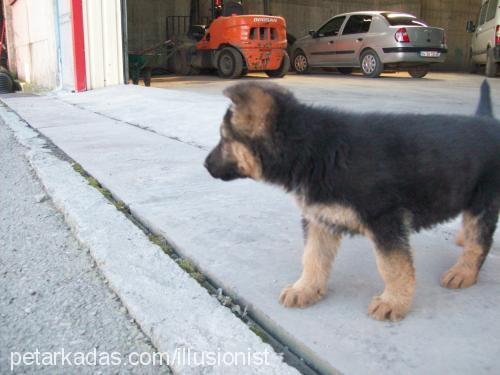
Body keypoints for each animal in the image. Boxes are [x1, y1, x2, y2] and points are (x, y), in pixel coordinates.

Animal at [204, 82, 500, 324]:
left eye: (224, 138)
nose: (205, 165)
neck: (315, 150)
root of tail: (488, 121)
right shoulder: (319, 219)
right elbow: (313, 257)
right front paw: (305, 289)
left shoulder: (385, 220)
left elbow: (393, 267)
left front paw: (393, 302)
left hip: (484, 200)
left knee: (480, 241)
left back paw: (463, 272)